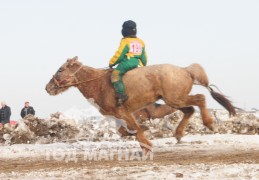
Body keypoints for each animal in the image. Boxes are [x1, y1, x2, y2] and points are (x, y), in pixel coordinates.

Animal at [45, 56, 238, 152]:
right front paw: (144, 135)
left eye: (60, 70)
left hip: (176, 98)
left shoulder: (124, 112)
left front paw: (146, 145)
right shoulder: (119, 116)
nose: (48, 88)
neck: (99, 84)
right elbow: (125, 131)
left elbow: (134, 128)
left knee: (200, 98)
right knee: (189, 110)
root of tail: (185, 70)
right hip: (173, 100)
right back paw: (178, 133)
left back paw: (209, 123)